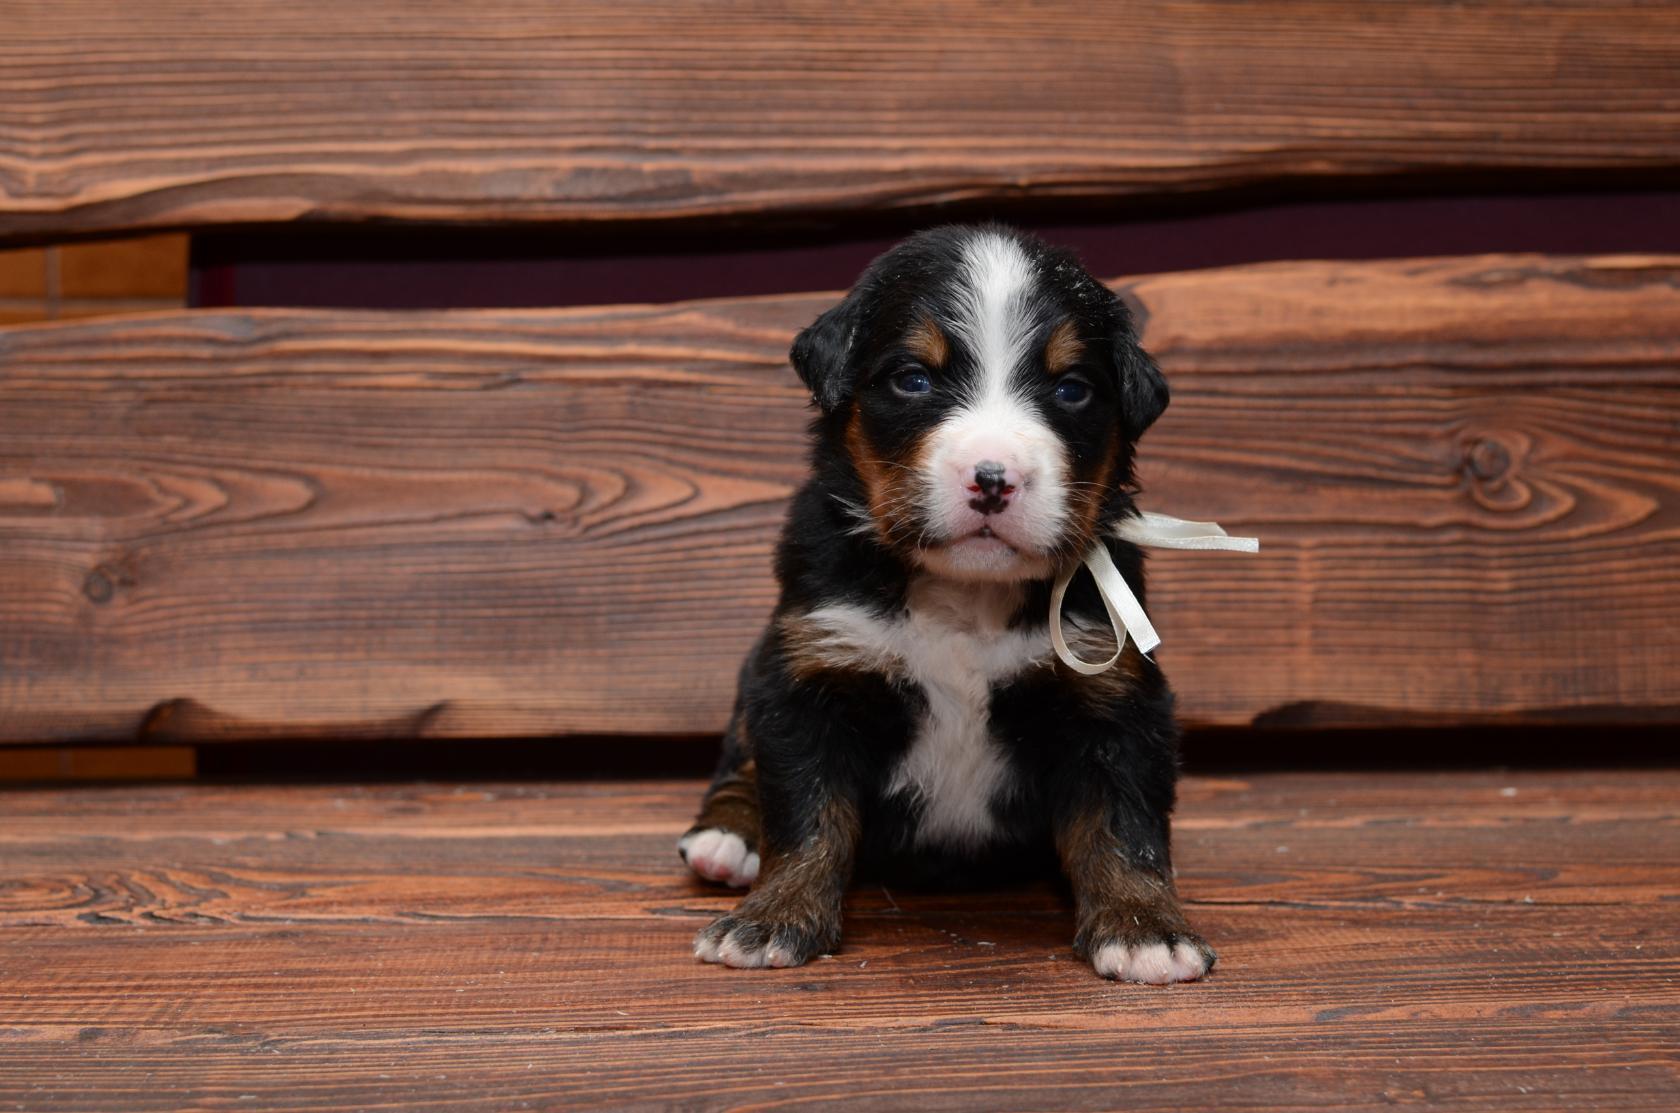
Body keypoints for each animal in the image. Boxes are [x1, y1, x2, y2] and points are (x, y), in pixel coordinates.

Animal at [675, 225, 1216, 988]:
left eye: (1072, 389)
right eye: (913, 379)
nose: (993, 479)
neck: (964, 597)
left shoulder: (1112, 697)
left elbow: (1123, 825)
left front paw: (1146, 930)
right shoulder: (811, 673)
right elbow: (807, 814)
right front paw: (771, 918)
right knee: (740, 765)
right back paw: (726, 838)